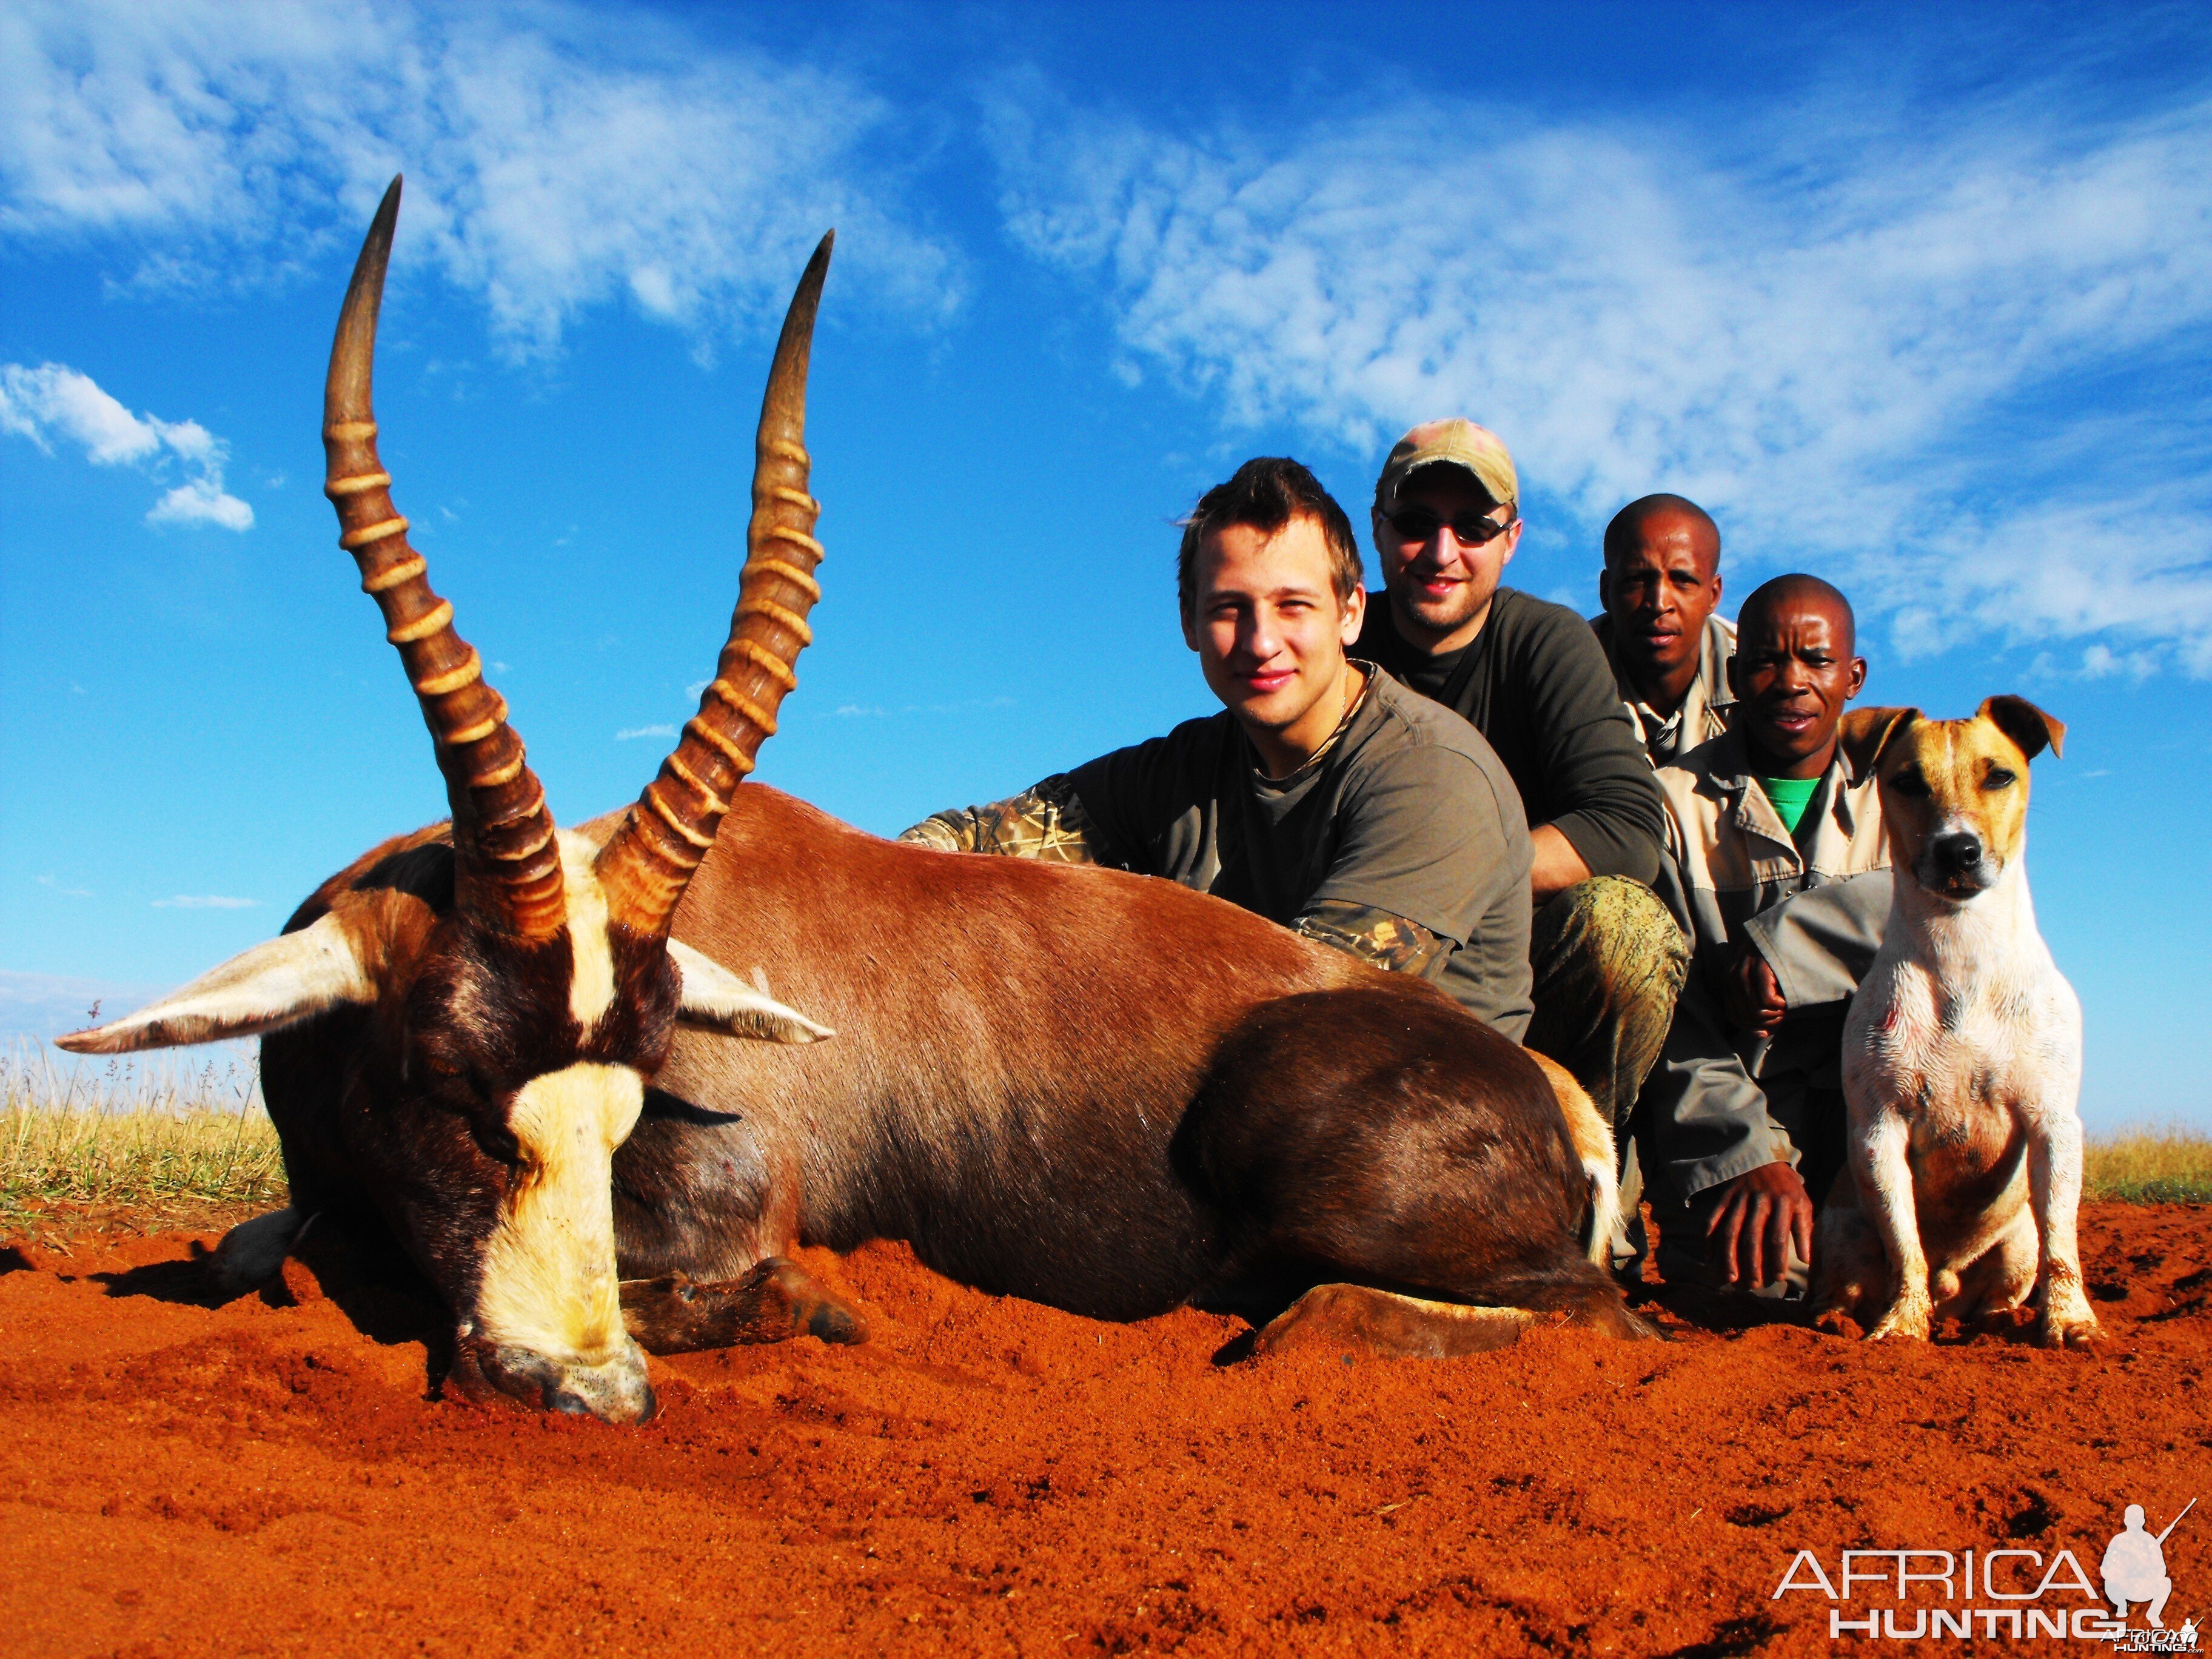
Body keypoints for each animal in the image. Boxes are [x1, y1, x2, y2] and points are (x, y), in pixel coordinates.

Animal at [60, 181, 1646, 1433]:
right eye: (449, 1079)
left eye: (631, 1097)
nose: (591, 1389)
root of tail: (1554, 1100)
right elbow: (260, 1247)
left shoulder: (725, 1214)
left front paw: (826, 1311)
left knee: (1581, 1313)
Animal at [1805, 699, 2097, 1353]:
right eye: (1908, 782)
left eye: (2000, 776)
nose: (1957, 850)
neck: (1962, 954)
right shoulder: (1880, 1130)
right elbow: (1905, 1246)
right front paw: (1901, 1324)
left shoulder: (2054, 1125)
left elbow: (2063, 1245)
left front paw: (2070, 1320)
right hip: (1842, 1227)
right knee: (1854, 1281)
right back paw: (1840, 1316)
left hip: (2016, 1244)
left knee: (2009, 1281)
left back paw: (1997, 1321)